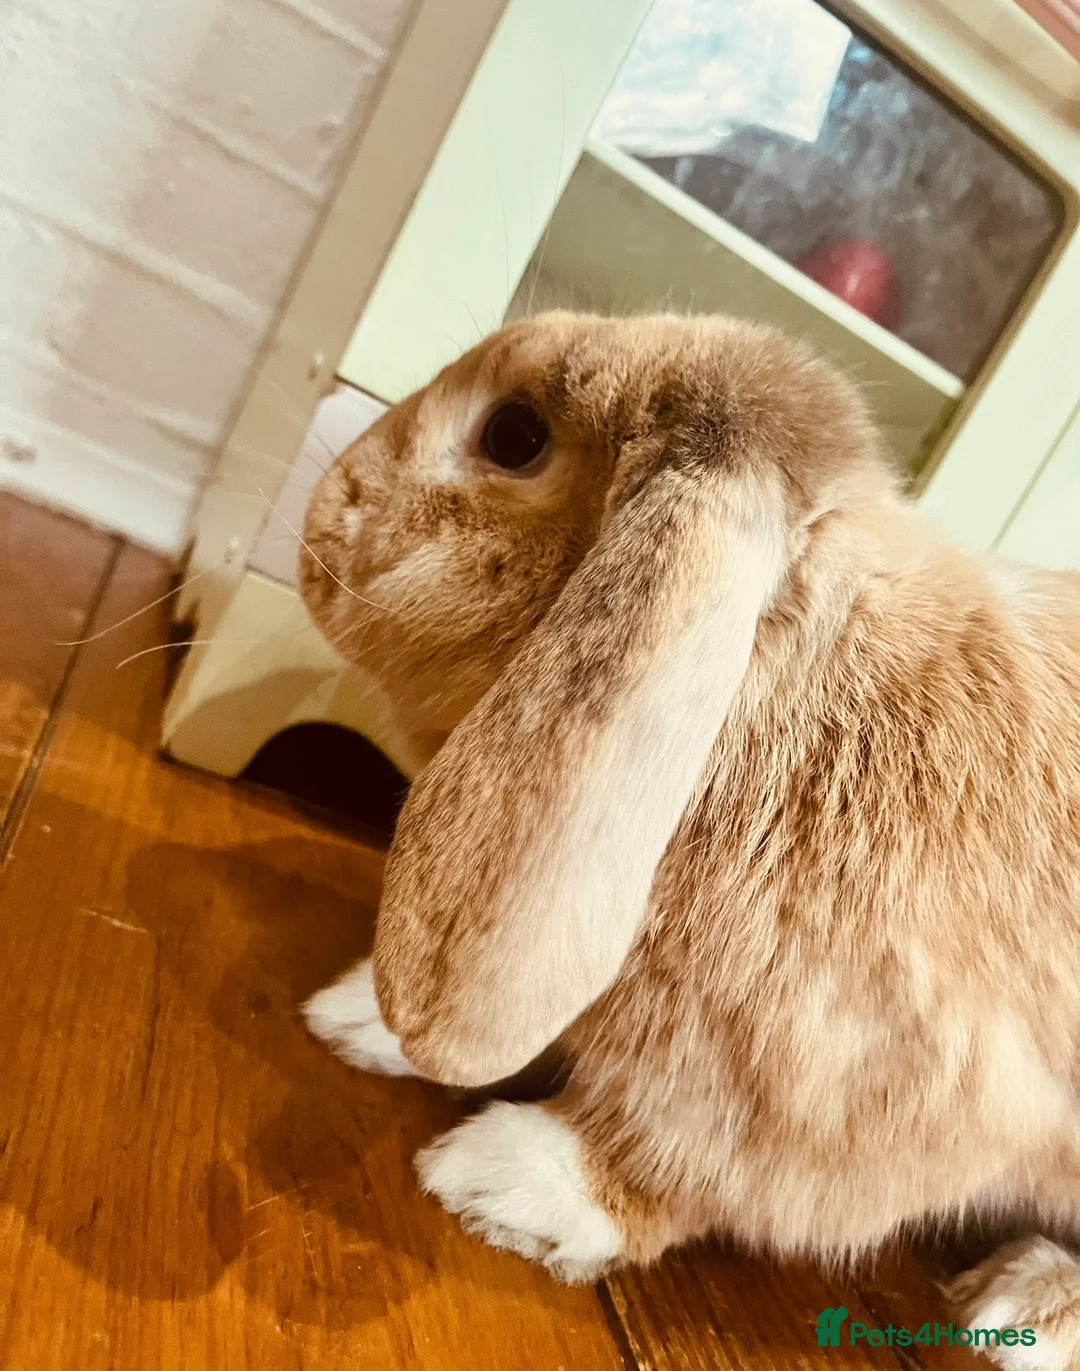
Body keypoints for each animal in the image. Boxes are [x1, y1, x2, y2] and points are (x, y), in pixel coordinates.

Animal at [299, 311, 1080, 1368]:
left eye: (514, 436)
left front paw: (506, 1178)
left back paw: (1018, 1310)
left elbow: (685, 1170)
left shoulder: (848, 1100)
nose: (320, 511)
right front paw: (354, 1017)